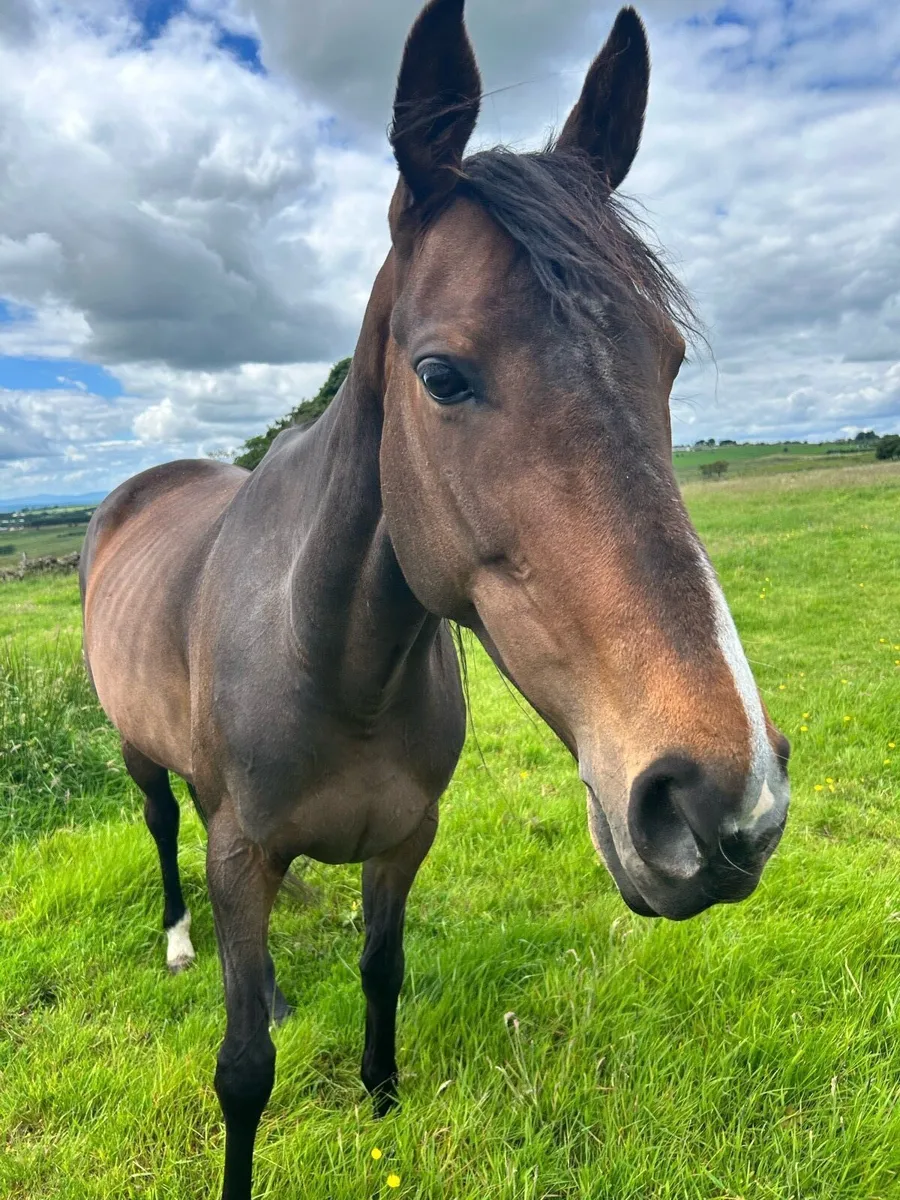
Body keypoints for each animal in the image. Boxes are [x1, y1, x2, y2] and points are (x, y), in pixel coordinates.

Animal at [79, 2, 790, 1196]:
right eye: (442, 376)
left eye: (669, 362)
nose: (724, 804)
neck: (329, 661)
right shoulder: (240, 850)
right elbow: (243, 1069)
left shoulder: (404, 838)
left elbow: (380, 970)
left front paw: (378, 1102)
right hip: (148, 765)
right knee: (165, 833)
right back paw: (180, 941)